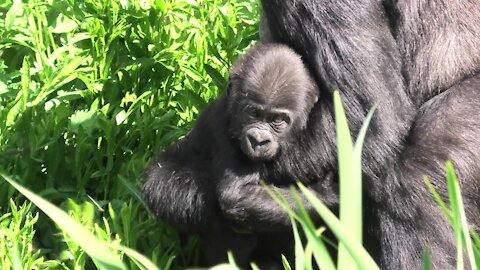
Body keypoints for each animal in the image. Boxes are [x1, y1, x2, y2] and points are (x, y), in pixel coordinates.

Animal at [143, 43, 334, 266]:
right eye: (253, 113)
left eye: (277, 120)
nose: (258, 140)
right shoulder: (223, 129)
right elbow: (238, 194)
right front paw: (326, 194)